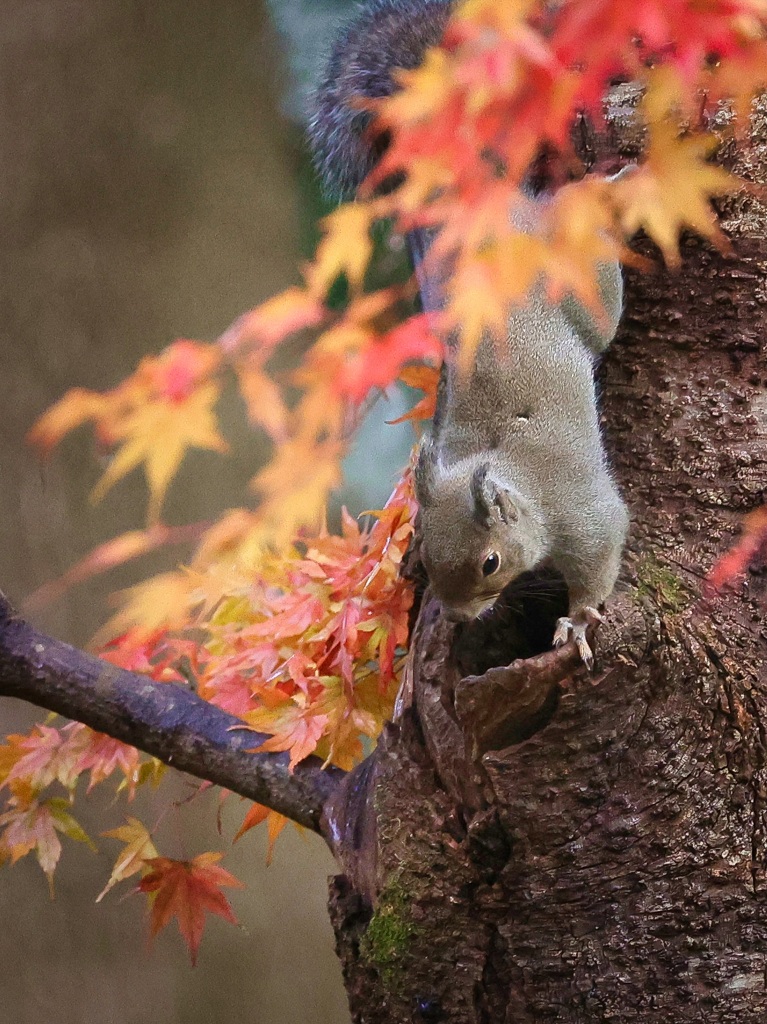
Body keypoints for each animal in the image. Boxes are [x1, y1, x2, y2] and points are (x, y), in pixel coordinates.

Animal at [307, 0, 626, 663]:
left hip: (583, 289)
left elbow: (601, 556)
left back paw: (602, 195)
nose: (454, 618)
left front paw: (579, 620)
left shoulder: (585, 514)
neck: (520, 484)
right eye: (426, 557)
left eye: (489, 563)